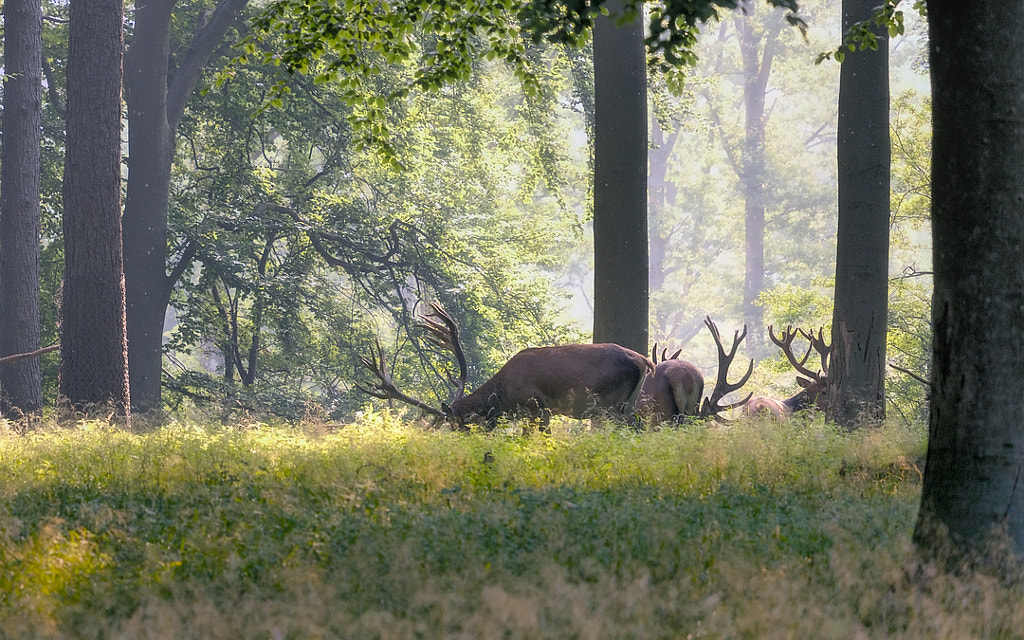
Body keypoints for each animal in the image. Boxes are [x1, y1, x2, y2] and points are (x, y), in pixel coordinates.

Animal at [360, 301, 655, 432]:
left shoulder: (538, 406)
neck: (505, 396)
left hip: (612, 404)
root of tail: (645, 361)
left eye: (458, 425)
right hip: (626, 404)